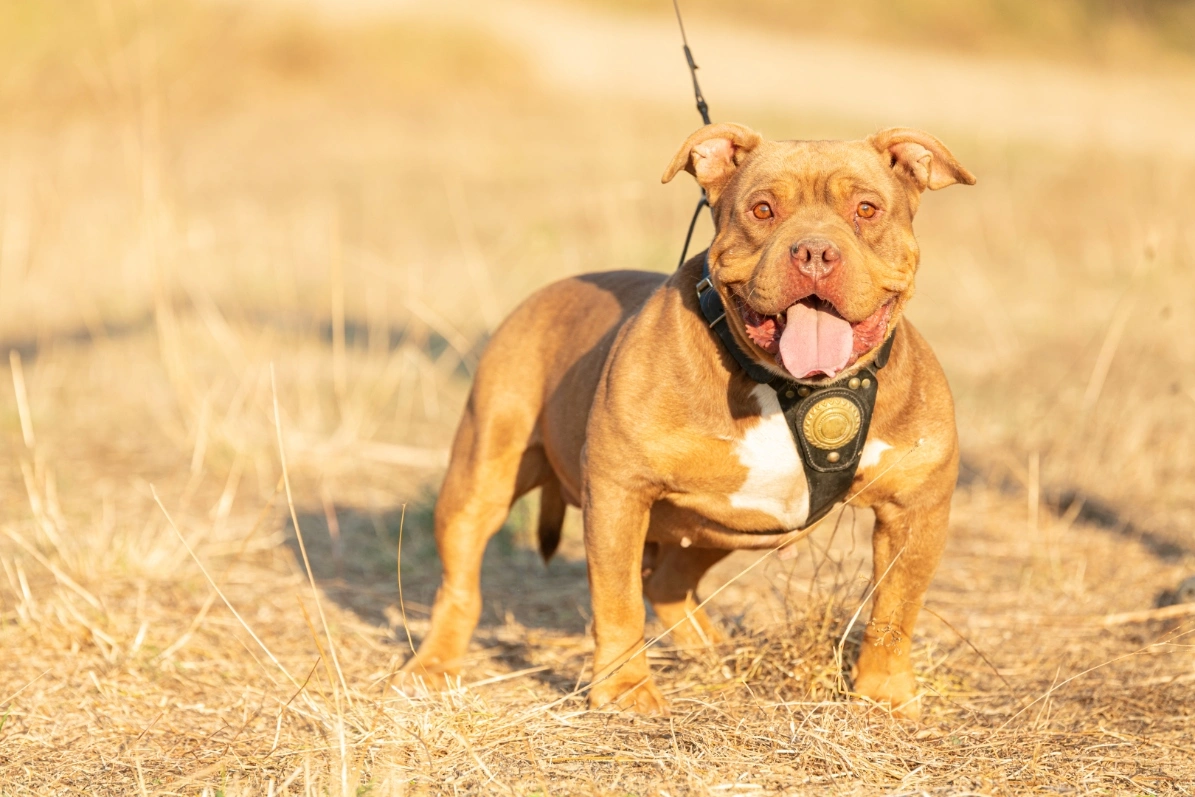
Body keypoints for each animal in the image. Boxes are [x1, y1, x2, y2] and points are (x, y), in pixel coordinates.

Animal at [396, 121, 975, 721]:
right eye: (762, 209)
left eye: (866, 209)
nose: (814, 251)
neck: (790, 386)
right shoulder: (619, 491)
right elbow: (617, 598)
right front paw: (626, 690)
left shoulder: (916, 510)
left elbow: (896, 607)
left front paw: (884, 694)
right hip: (480, 476)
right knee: (461, 582)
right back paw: (433, 666)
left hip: (727, 523)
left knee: (669, 583)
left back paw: (715, 651)